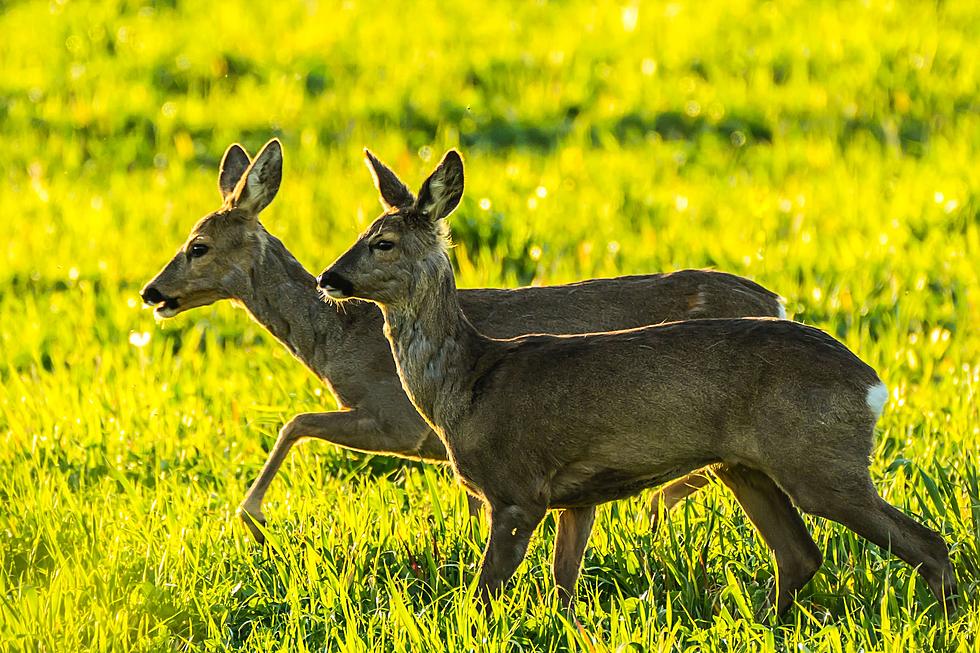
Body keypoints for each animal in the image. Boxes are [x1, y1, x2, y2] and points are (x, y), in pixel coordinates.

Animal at [140, 139, 804, 612]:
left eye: (197, 246)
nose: (152, 292)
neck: (336, 339)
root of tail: (776, 303)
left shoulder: (395, 419)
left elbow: (295, 421)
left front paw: (252, 516)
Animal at [320, 148, 956, 616]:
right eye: (360, 231)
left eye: (382, 242)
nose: (329, 277)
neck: (468, 385)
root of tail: (873, 385)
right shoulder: (574, 494)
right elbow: (563, 586)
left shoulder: (517, 488)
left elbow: (484, 594)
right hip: (745, 464)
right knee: (801, 554)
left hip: (820, 459)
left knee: (926, 542)